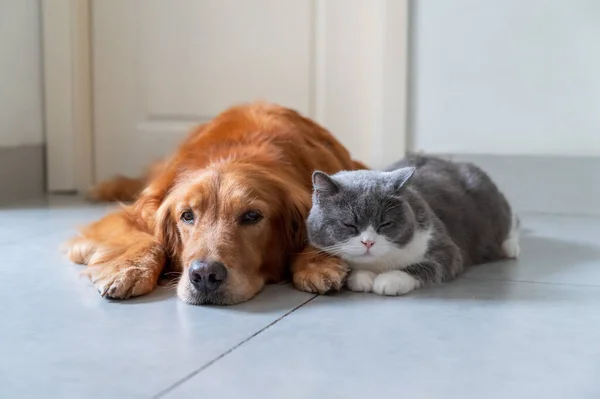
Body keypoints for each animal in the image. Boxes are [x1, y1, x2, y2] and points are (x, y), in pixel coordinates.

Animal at [64, 103, 366, 306]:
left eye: (252, 216)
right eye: (187, 216)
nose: (205, 275)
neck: (234, 154)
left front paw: (317, 263)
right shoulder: (137, 212)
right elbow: (147, 238)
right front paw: (129, 269)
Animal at [308, 155, 516, 296]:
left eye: (385, 223)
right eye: (349, 224)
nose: (368, 243)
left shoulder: (448, 249)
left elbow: (425, 265)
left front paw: (389, 279)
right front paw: (361, 277)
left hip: (494, 209)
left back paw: (511, 247)